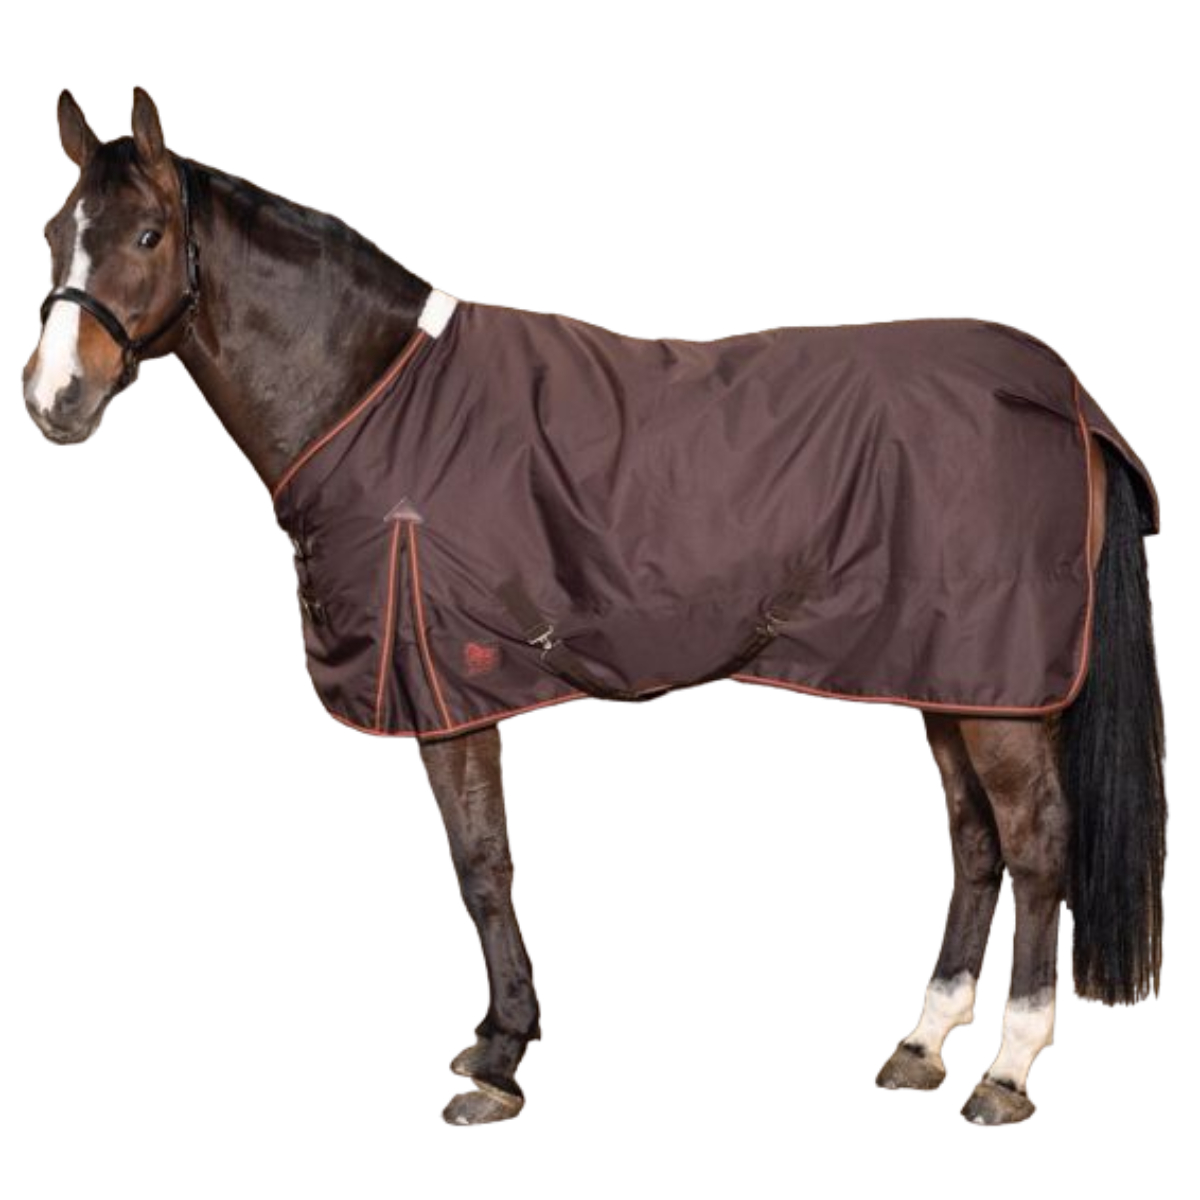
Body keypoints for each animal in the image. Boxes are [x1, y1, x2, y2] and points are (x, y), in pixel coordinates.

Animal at [23, 89, 1166, 1127]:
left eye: (146, 234)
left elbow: (481, 866)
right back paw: (922, 1042)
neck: (378, 401)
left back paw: (1006, 1070)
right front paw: (497, 1036)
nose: (51, 400)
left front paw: (501, 1059)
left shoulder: (447, 685)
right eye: (50, 234)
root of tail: (1066, 396)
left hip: (1001, 691)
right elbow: (482, 863)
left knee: (1037, 844)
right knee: (975, 843)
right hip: (948, 672)